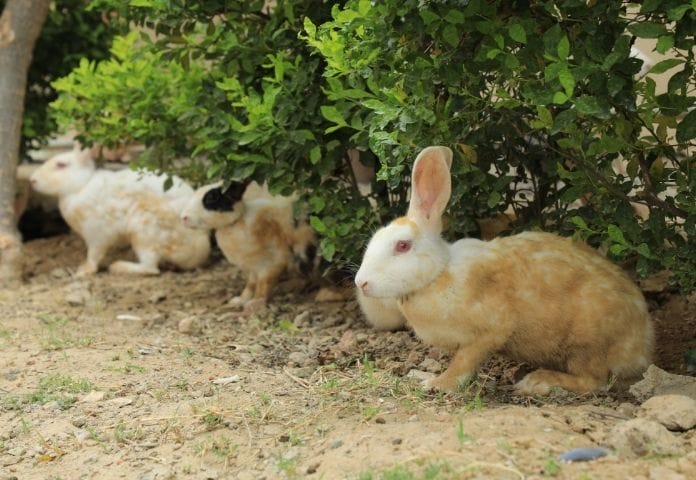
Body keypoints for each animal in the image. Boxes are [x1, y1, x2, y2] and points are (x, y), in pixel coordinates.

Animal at [29, 146, 210, 276]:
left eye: (61, 165)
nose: (32, 180)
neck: (81, 186)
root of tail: (199, 247)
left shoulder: (96, 235)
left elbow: (94, 255)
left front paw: (83, 271)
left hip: (144, 234)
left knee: (150, 268)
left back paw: (118, 267)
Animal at [181, 180, 317, 314]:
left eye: (212, 198)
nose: (183, 217)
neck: (237, 222)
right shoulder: (253, 267)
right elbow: (250, 284)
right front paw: (240, 300)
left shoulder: (270, 264)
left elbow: (263, 285)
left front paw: (254, 303)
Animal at [355, 146, 654, 395]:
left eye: (403, 246)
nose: (361, 283)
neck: (439, 274)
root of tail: (641, 346)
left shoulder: (489, 331)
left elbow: (464, 362)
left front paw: (438, 383)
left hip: (586, 344)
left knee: (593, 380)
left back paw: (538, 382)